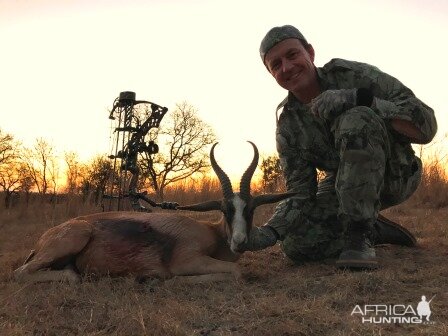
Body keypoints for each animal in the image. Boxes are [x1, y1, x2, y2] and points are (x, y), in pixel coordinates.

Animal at [13, 142, 294, 284]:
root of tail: (43, 240)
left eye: (250, 209)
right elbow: (236, 272)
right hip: (72, 239)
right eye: (225, 210)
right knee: (23, 274)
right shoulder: (187, 261)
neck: (211, 234)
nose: (239, 241)